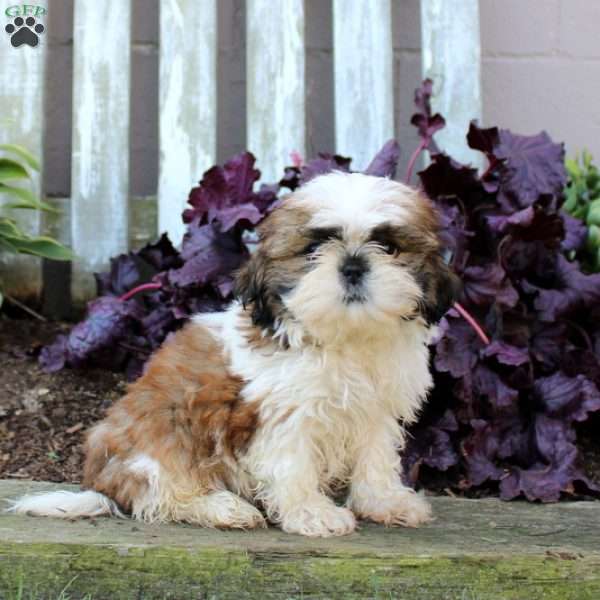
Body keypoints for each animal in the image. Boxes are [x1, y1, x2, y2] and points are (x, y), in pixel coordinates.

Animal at [10, 171, 460, 536]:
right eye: (313, 248)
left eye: (388, 246)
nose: (352, 266)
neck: (345, 337)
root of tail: (103, 484)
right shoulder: (283, 415)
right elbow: (294, 465)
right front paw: (313, 514)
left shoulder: (376, 410)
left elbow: (376, 457)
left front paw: (383, 502)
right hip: (159, 439)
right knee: (162, 495)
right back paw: (223, 508)